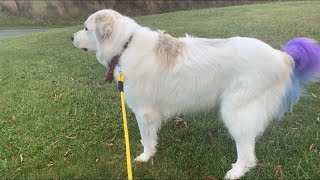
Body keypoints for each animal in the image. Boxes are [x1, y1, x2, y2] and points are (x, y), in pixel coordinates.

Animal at [72, 9, 320, 179]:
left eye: (86, 28)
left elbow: (146, 139)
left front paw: (145, 157)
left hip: (235, 111)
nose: (70, 38)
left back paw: (236, 171)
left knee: (247, 151)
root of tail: (282, 56)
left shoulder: (144, 112)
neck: (126, 44)